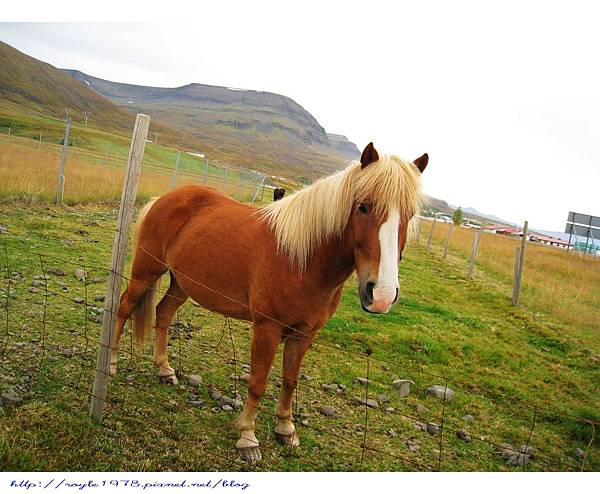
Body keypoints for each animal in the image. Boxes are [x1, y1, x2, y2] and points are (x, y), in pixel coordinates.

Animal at [109, 143, 426, 464]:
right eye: (363, 206)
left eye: (410, 215)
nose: (381, 294)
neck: (301, 259)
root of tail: (165, 198)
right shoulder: (267, 329)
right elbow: (258, 382)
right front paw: (247, 437)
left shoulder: (305, 333)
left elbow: (289, 380)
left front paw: (286, 429)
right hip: (146, 272)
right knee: (123, 307)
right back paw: (110, 364)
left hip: (181, 283)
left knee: (162, 313)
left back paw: (165, 370)